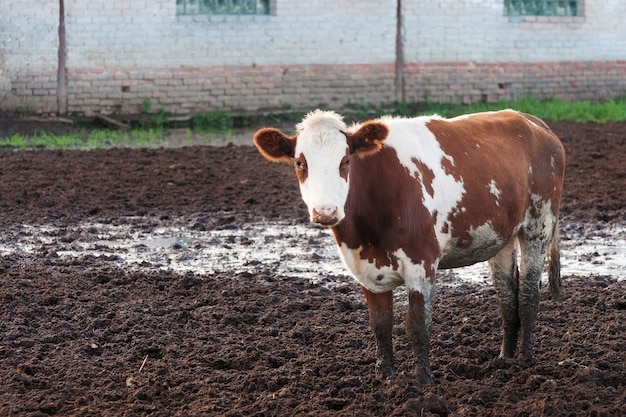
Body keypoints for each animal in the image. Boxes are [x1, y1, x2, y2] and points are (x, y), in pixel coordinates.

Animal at [251, 109, 564, 382]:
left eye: (346, 161)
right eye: (300, 163)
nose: (325, 211)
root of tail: (531, 121)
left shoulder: (421, 263)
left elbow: (417, 325)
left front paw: (423, 380)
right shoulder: (367, 270)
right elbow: (380, 324)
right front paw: (385, 376)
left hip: (539, 223)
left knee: (527, 292)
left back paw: (524, 359)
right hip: (502, 237)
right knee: (506, 297)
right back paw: (504, 358)